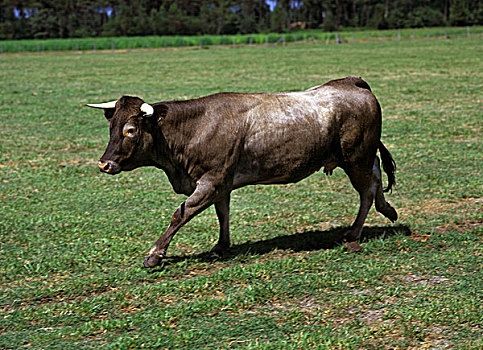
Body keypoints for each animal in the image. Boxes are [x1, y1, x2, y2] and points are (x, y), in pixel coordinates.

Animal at [86, 77, 398, 268]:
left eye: (130, 130)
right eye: (111, 126)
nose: (104, 164)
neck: (193, 129)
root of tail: (351, 82)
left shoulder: (211, 181)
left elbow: (181, 213)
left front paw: (155, 254)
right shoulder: (220, 184)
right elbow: (222, 213)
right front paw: (221, 245)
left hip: (355, 157)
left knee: (366, 189)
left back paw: (354, 232)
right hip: (360, 156)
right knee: (376, 175)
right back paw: (387, 208)